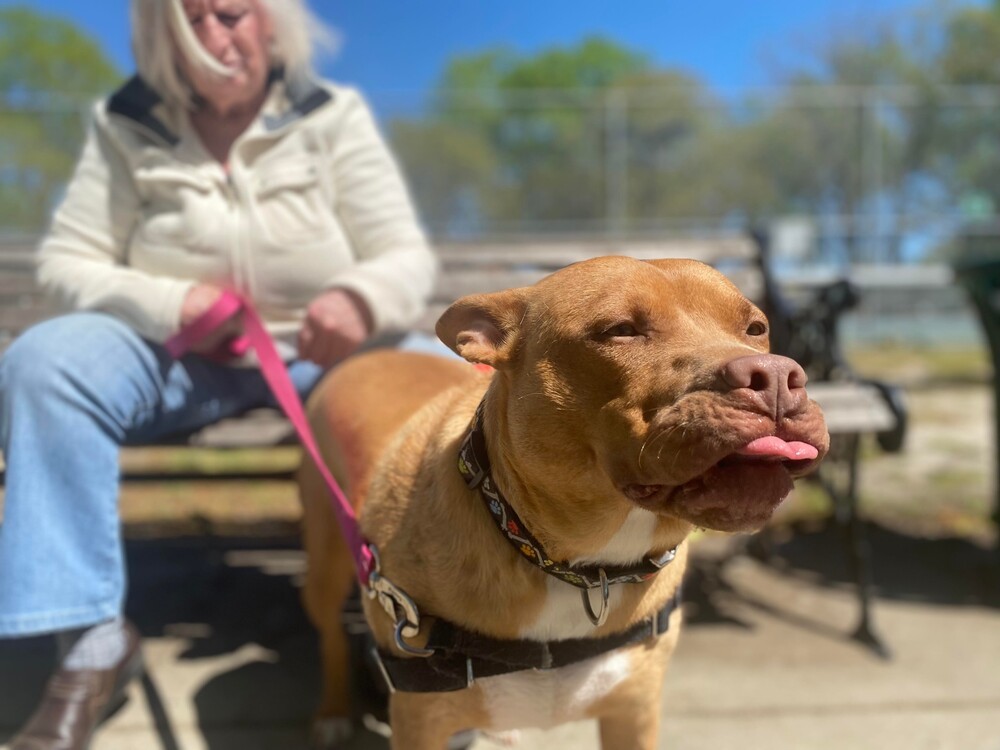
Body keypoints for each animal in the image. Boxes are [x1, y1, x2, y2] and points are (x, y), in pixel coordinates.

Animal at [296, 256, 828, 748]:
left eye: (756, 328)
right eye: (620, 330)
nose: (777, 375)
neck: (583, 566)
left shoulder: (633, 711)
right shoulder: (420, 722)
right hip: (325, 561)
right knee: (329, 637)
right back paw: (331, 713)